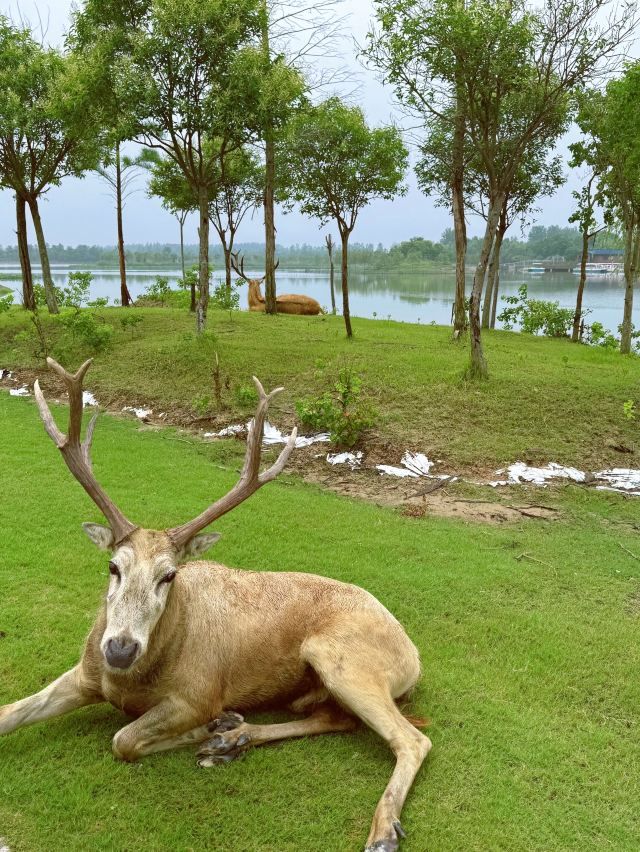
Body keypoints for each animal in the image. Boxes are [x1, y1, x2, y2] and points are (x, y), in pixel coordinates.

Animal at [0, 357, 431, 852]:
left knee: (413, 739)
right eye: (113, 566)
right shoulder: (85, 672)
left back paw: (381, 829)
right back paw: (234, 741)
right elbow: (8, 713)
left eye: (169, 575)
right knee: (333, 719)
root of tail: (413, 655)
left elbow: (123, 740)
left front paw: (210, 726)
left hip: (343, 658)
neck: (131, 681)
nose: (120, 649)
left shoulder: (199, 692)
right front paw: (220, 730)